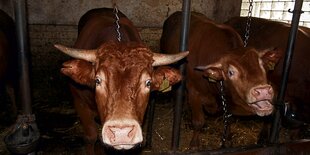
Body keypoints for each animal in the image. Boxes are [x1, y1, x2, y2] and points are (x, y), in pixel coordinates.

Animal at [160, 11, 280, 148]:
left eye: (262, 65)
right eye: (230, 72)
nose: (263, 91)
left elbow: (229, 119)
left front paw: (228, 139)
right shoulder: (194, 92)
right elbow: (198, 121)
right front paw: (194, 144)